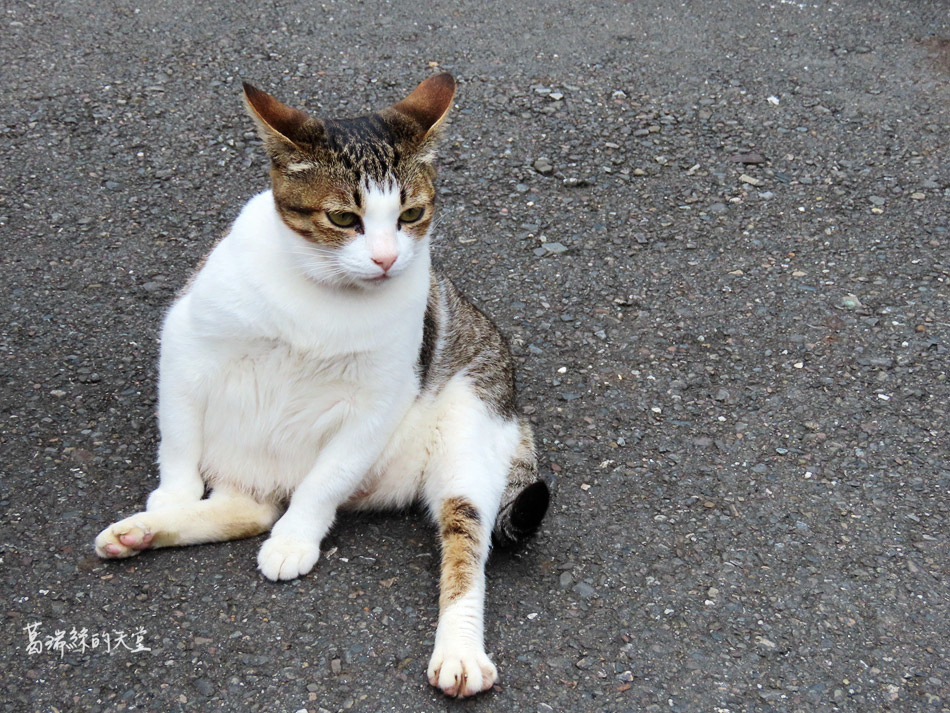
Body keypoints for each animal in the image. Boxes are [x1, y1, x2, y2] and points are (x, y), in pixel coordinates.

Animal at [93, 72, 552, 696]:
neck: (323, 292)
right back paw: (142, 531)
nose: (385, 259)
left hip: (469, 431)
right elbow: (179, 436)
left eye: (411, 214)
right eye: (342, 220)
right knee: (246, 510)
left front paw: (295, 539)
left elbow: (324, 481)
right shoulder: (186, 343)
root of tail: (514, 406)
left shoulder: (380, 399)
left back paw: (459, 652)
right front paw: (172, 495)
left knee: (465, 548)